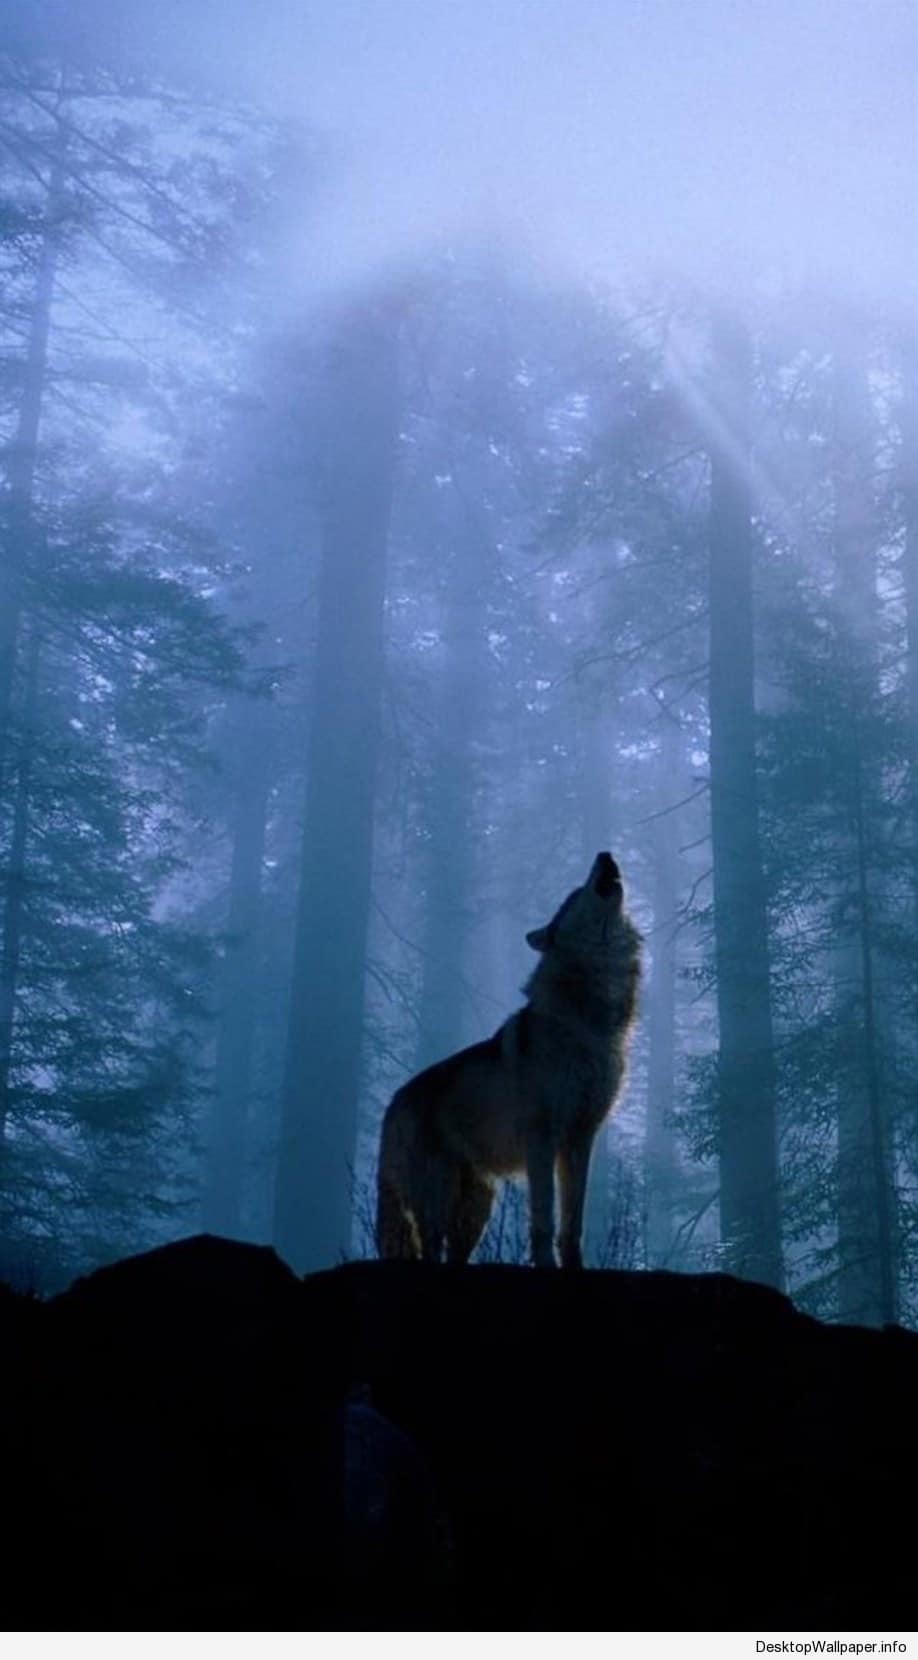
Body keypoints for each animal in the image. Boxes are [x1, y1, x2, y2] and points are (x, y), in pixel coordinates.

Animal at [376, 851, 641, 1268]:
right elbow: (544, 1219)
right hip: (437, 1200)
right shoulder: (541, 1139)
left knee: (454, 1256)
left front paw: (575, 1267)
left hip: (476, 1209)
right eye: (575, 894)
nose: (605, 854)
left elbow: (573, 1223)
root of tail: (393, 1103)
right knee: (430, 1250)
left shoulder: (581, 1138)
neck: (591, 1021)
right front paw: (546, 1265)